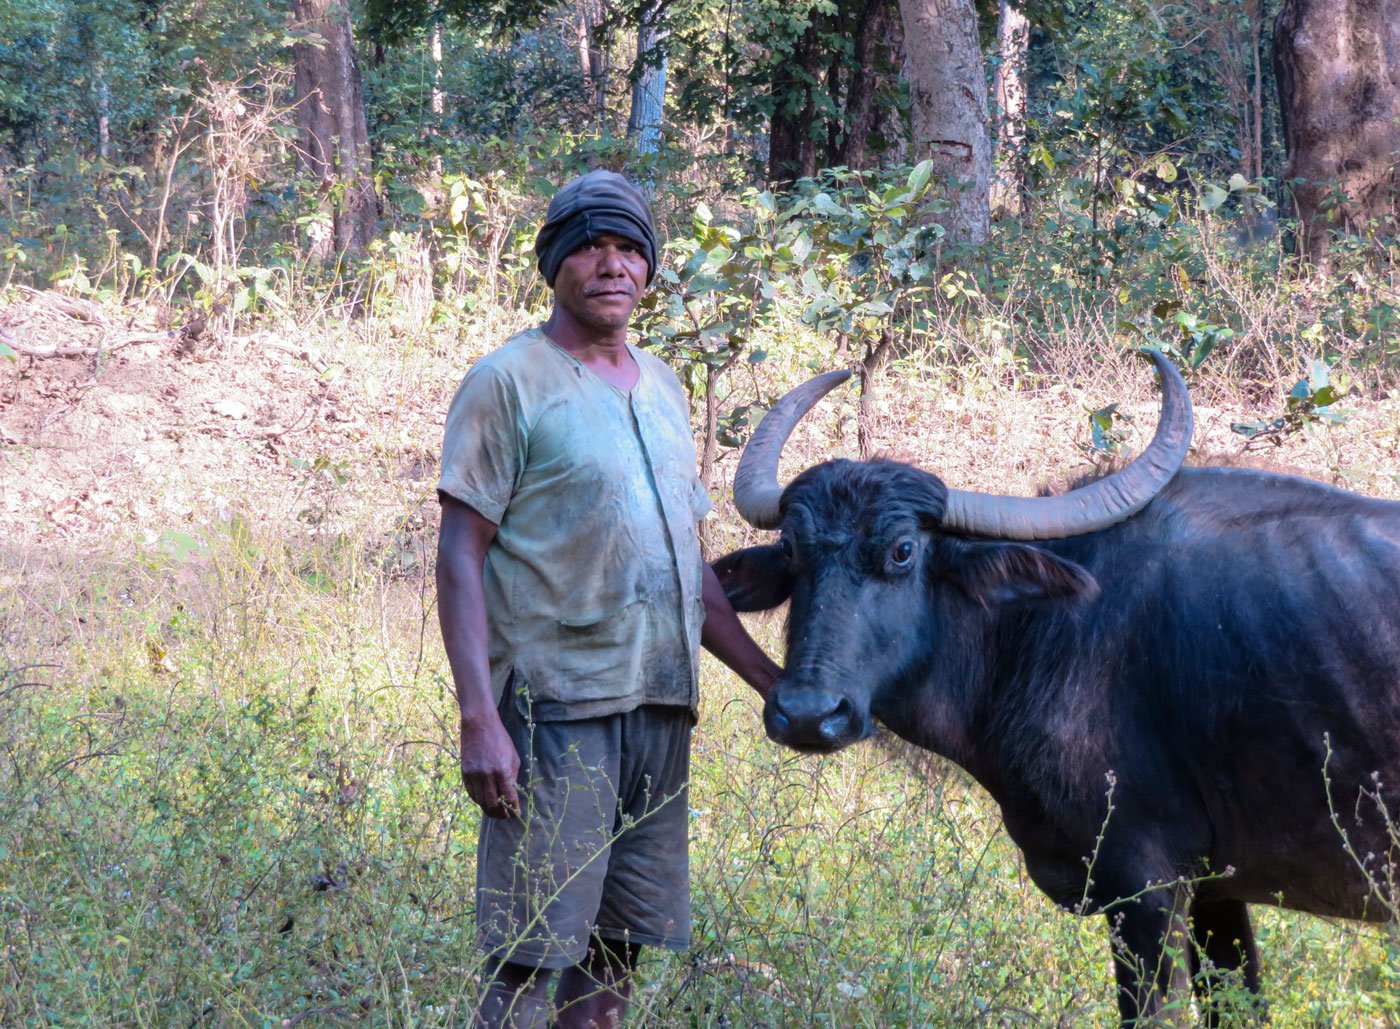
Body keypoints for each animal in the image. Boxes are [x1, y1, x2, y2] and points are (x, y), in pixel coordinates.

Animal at [716, 352, 1394, 1024]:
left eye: (903, 551)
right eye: (791, 550)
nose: (807, 715)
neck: (1047, 626)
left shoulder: (1144, 890)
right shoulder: (1216, 892)